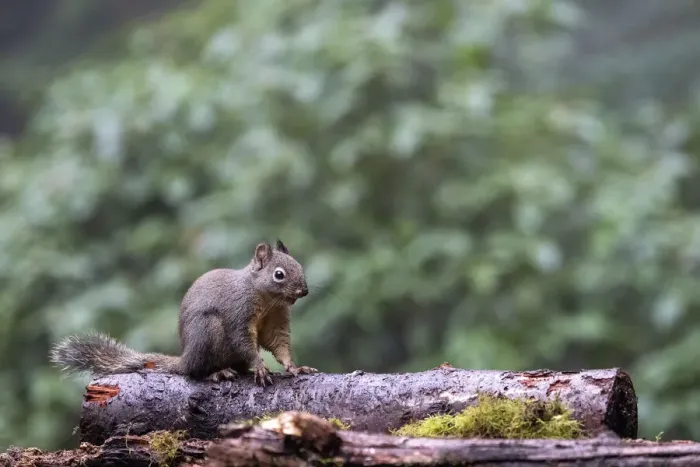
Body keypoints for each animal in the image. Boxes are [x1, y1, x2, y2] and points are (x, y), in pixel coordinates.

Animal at [50, 239, 317, 386]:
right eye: (279, 274)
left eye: (300, 266)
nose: (304, 291)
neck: (266, 299)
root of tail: (185, 357)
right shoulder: (238, 311)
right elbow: (243, 340)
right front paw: (260, 366)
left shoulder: (276, 319)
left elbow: (279, 343)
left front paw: (295, 367)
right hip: (208, 331)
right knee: (195, 372)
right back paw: (217, 373)